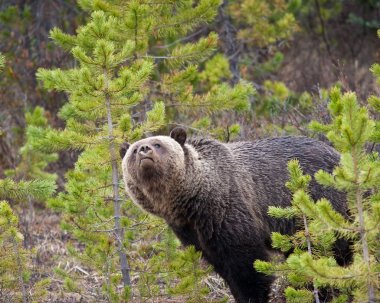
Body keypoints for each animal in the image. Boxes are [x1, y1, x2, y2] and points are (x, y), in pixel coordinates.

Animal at [120, 127, 348, 302]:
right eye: (133, 150)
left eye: (158, 143)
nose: (144, 149)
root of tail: (338, 154)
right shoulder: (194, 233)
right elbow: (223, 267)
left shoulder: (228, 212)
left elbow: (247, 266)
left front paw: (252, 296)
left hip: (323, 201)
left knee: (338, 248)